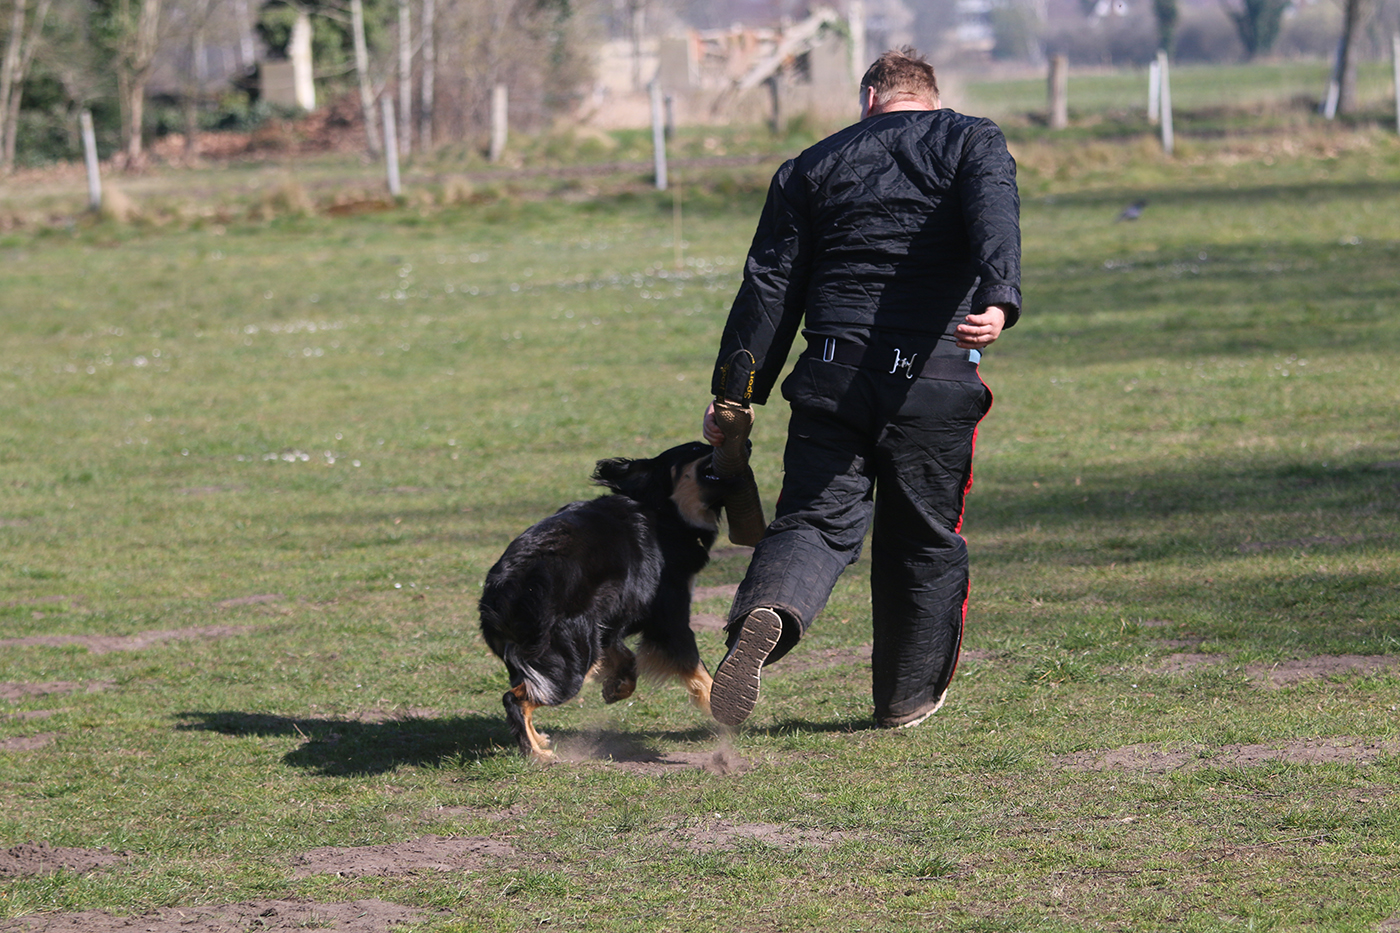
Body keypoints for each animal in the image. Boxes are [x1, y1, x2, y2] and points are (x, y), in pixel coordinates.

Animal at [479, 441, 737, 760]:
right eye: (695, 448)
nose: (746, 443)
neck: (663, 510)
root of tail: (506, 588)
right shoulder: (670, 621)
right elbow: (699, 670)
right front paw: (724, 707)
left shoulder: (610, 618)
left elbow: (626, 657)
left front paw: (618, 687)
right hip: (571, 659)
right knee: (516, 699)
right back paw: (537, 753)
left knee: (528, 689)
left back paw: (537, 740)